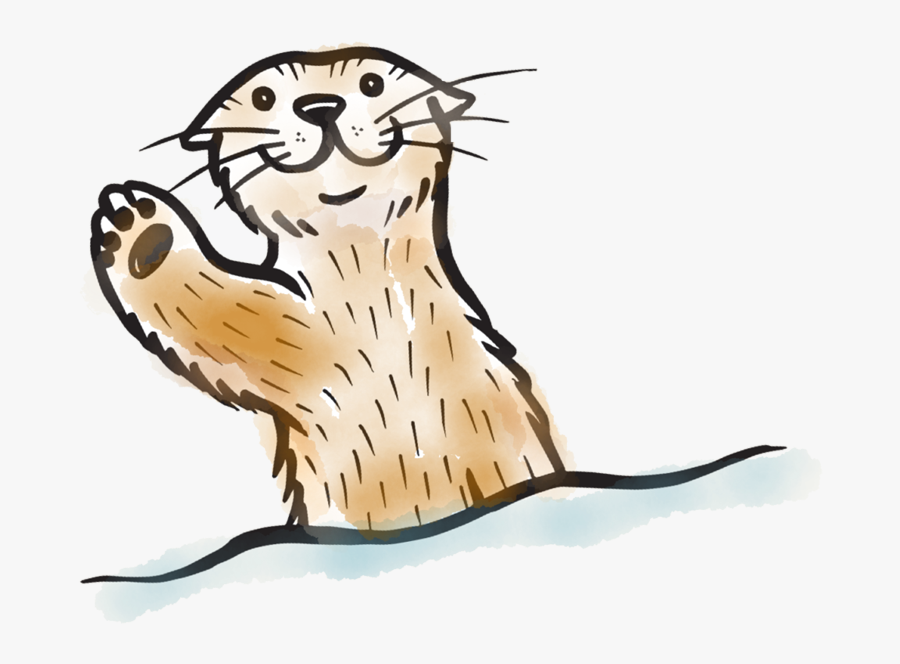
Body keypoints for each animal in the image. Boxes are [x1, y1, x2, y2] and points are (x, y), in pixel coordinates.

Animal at [85, 46, 782, 583]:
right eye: (262, 98)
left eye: (370, 84)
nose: (320, 107)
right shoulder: (296, 348)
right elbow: (229, 321)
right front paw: (139, 231)